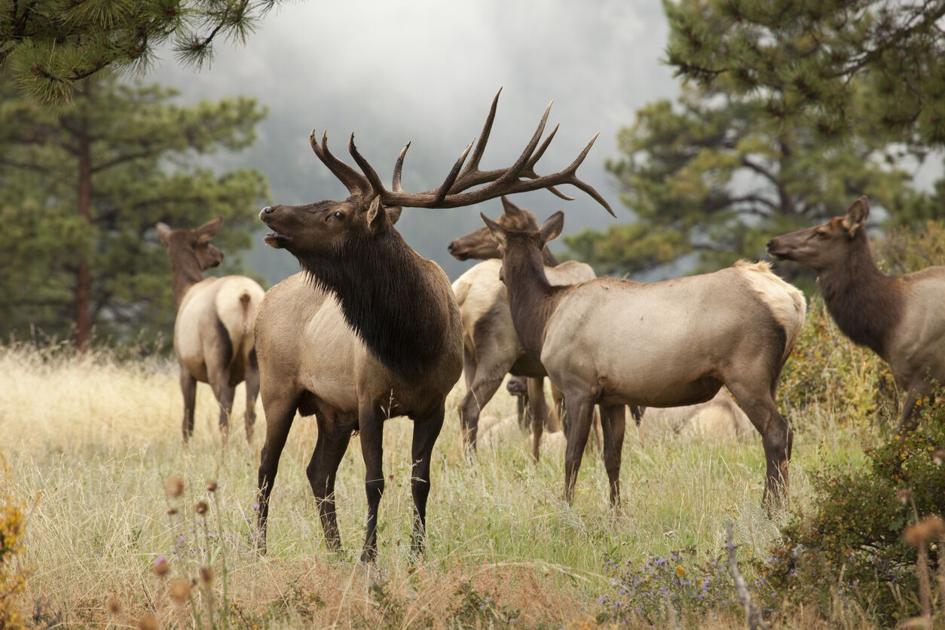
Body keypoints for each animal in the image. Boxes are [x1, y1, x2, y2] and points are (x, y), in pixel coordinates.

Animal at [155, 218, 264, 443]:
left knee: (224, 415)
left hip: (216, 357)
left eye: (205, 242)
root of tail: (245, 296)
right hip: (254, 361)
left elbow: (188, 420)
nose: (220, 254)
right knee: (249, 414)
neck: (183, 293)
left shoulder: (185, 367)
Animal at [253, 89, 612, 561]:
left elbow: (420, 481)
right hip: (277, 389)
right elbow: (374, 481)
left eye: (337, 213)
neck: (412, 345)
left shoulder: (432, 404)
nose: (268, 209)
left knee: (316, 472)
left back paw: (334, 550)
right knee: (266, 467)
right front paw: (370, 556)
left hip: (332, 410)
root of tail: (265, 302)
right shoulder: (368, 399)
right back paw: (260, 550)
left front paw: (415, 554)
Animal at [480, 207, 806, 508]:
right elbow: (612, 458)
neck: (545, 320)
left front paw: (567, 510)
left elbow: (572, 456)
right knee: (780, 436)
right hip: (771, 375)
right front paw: (615, 514)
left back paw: (771, 510)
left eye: (499, 248)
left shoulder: (578, 386)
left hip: (746, 372)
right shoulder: (612, 397)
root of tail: (794, 299)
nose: (498, 275)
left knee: (777, 432)